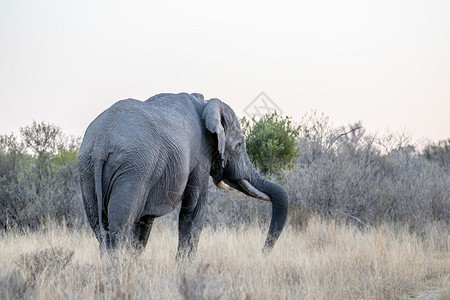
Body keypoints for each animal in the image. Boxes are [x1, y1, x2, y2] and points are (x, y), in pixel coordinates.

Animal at [77, 92, 288, 258]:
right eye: (238, 146)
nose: (263, 252)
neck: (205, 103)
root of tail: (100, 145)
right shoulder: (200, 157)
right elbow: (195, 209)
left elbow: (145, 222)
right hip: (133, 170)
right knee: (120, 227)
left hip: (87, 170)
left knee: (100, 229)